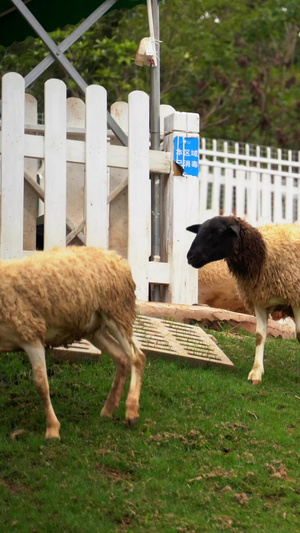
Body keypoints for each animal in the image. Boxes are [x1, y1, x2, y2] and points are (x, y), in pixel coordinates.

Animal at [0, 245, 145, 436]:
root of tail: (116, 257)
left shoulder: (31, 334)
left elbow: (41, 384)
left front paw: (52, 430)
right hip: (94, 328)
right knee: (121, 358)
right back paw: (108, 409)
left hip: (117, 311)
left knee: (137, 357)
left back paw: (131, 412)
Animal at [186, 216, 298, 382]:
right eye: (198, 230)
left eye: (219, 231)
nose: (190, 257)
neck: (264, 254)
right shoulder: (260, 299)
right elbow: (259, 336)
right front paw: (256, 373)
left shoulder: (295, 299)